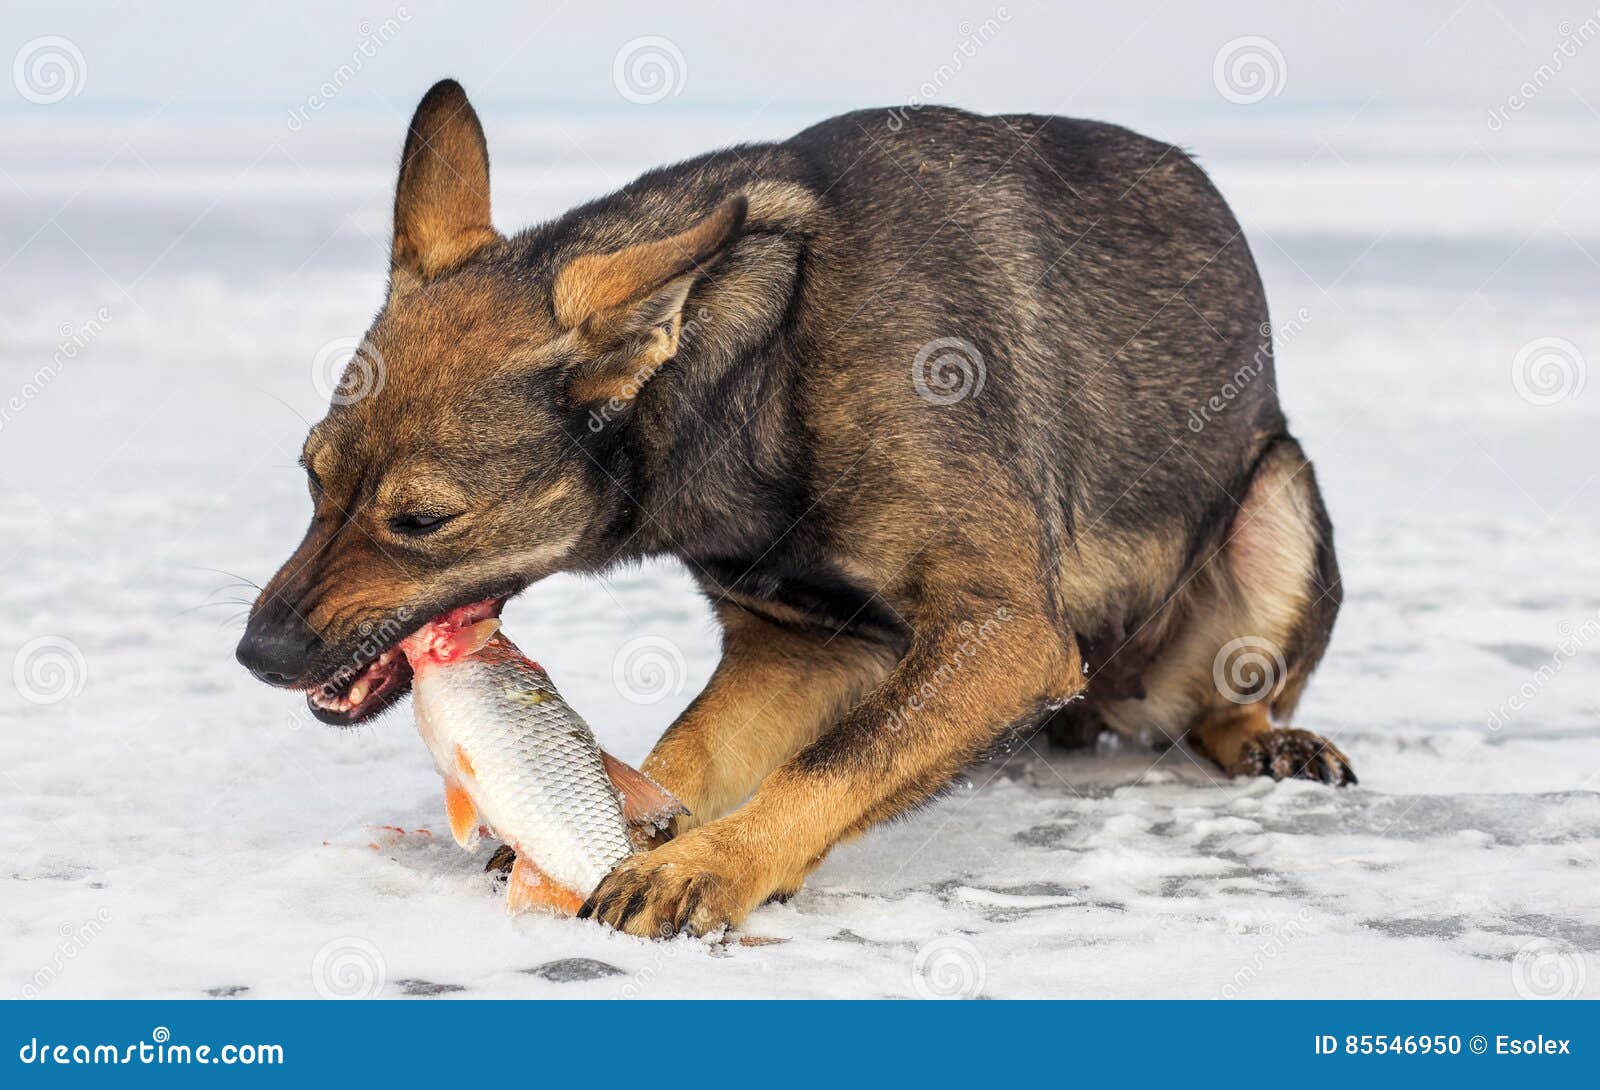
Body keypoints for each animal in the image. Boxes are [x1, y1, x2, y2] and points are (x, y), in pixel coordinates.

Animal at [236, 82, 1350, 934]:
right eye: (311, 478)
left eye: (423, 521)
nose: (258, 652)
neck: (765, 366)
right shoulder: (803, 646)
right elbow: (693, 751)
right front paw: (644, 828)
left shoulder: (1003, 633)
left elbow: (832, 764)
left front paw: (708, 865)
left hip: (1279, 503)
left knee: (1218, 703)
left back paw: (1269, 740)